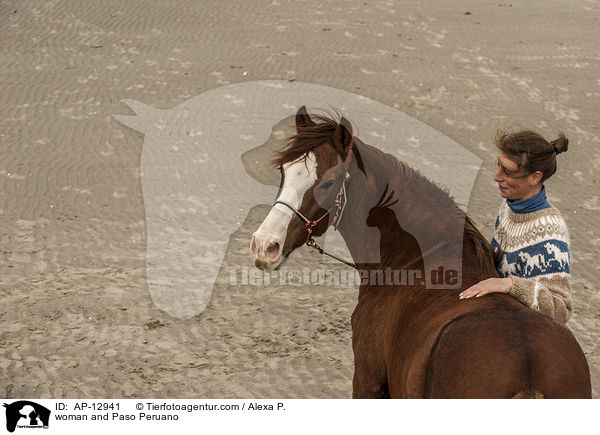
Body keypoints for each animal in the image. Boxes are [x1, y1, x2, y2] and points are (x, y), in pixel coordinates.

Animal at [248, 107, 592, 400]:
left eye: (328, 181)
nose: (265, 245)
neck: (416, 258)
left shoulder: (368, 381)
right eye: (283, 170)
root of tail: (528, 373)